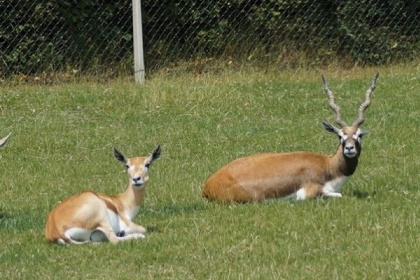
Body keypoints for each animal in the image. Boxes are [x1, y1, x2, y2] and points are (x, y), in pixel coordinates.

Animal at [202, 73, 378, 202]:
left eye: (359, 135)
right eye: (340, 135)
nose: (349, 148)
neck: (329, 166)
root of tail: (209, 185)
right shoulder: (309, 192)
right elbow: (340, 195)